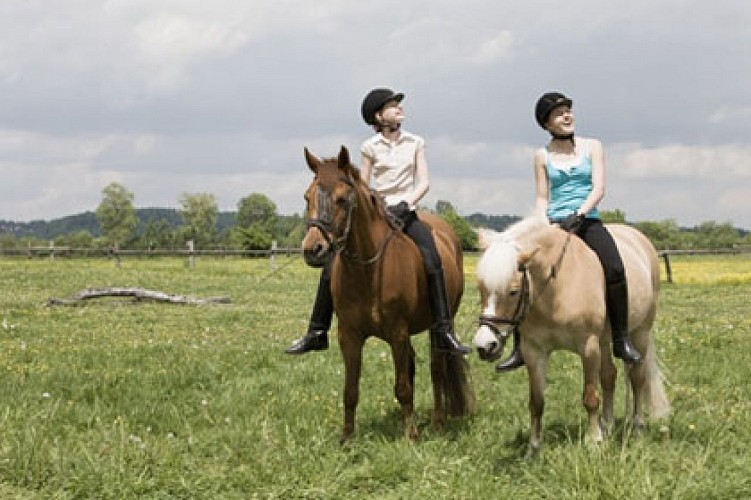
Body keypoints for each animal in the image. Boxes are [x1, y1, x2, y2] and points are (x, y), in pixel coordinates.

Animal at [302, 146, 472, 444]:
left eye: (342, 199)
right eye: (307, 197)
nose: (313, 249)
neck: (368, 272)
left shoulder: (397, 332)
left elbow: (403, 386)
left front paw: (411, 436)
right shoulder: (349, 335)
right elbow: (350, 390)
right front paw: (347, 439)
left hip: (438, 326)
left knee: (436, 370)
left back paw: (438, 422)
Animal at [472, 213, 672, 456]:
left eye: (513, 291)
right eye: (480, 288)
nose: (485, 345)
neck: (555, 289)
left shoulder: (588, 347)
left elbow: (590, 397)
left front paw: (594, 443)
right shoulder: (534, 351)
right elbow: (536, 402)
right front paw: (533, 449)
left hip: (640, 332)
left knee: (637, 377)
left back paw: (637, 428)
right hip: (605, 340)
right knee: (609, 375)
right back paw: (607, 426)